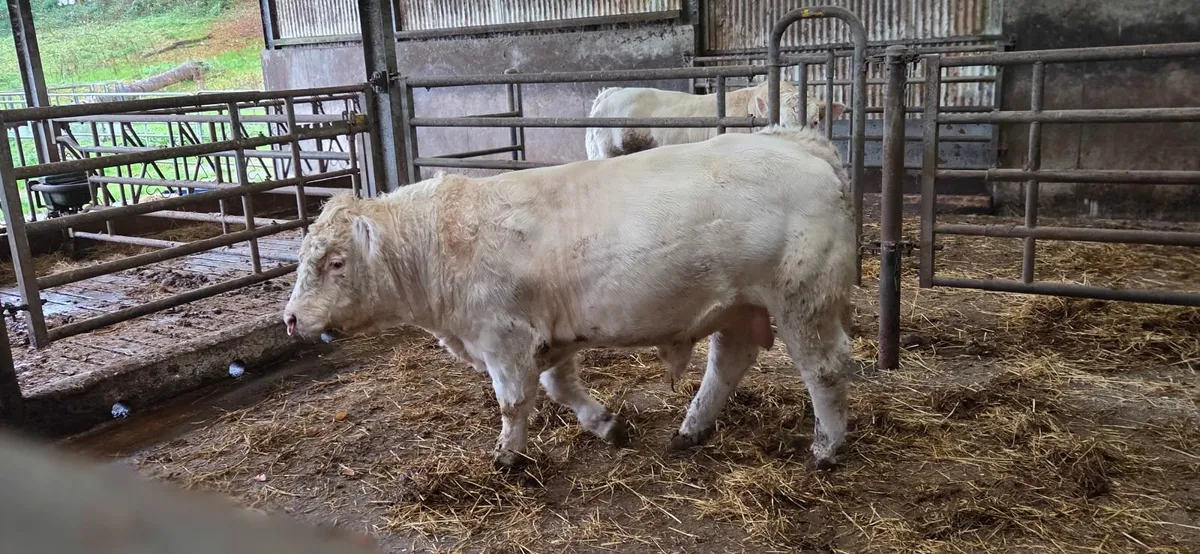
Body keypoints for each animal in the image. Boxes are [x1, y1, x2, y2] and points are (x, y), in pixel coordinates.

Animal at [283, 125, 856, 472]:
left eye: (335, 262)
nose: (288, 319)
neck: (439, 243)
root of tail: (795, 140)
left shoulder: (506, 339)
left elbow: (514, 402)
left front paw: (507, 458)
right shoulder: (549, 338)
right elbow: (560, 388)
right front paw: (606, 425)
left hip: (803, 300)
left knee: (824, 370)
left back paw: (826, 449)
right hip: (738, 306)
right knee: (728, 364)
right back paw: (690, 430)